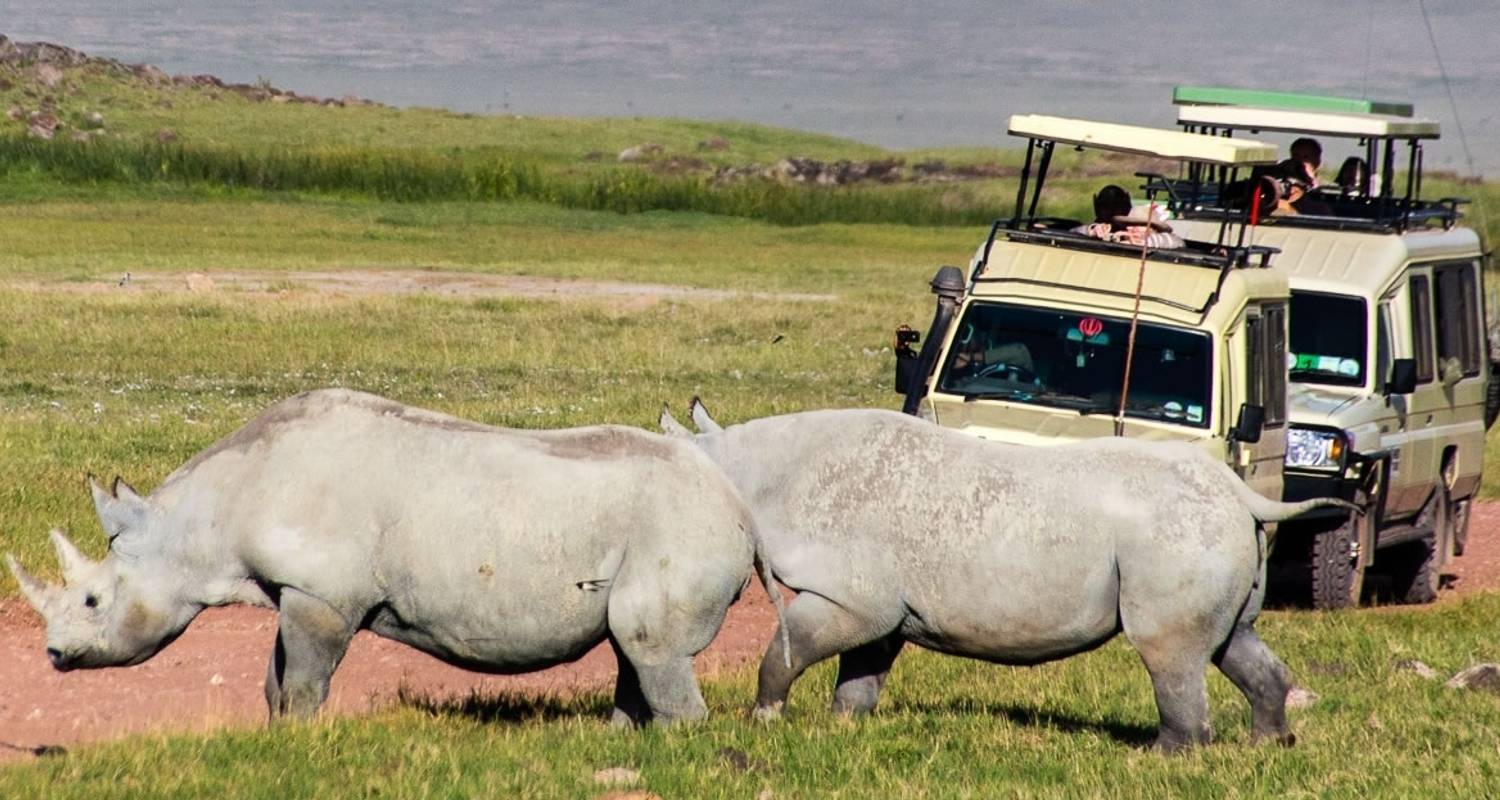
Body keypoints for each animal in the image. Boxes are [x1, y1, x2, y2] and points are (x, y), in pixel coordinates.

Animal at [8, 387, 786, 723]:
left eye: (92, 600)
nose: (54, 656)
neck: (198, 522)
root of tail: (737, 507)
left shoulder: (323, 592)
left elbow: (305, 679)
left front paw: (302, 741)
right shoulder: (293, 587)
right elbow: (275, 678)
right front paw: (278, 738)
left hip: (680, 525)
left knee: (647, 641)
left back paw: (676, 747)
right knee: (632, 644)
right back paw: (624, 743)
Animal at [663, 402, 1356, 750]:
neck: (749, 469)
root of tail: (1243, 494)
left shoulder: (852, 596)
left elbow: (789, 650)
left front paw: (763, 719)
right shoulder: (884, 605)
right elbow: (862, 672)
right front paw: (843, 729)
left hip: (1175, 534)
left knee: (1170, 651)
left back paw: (1162, 759)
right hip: (1207, 529)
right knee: (1233, 641)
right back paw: (1265, 747)